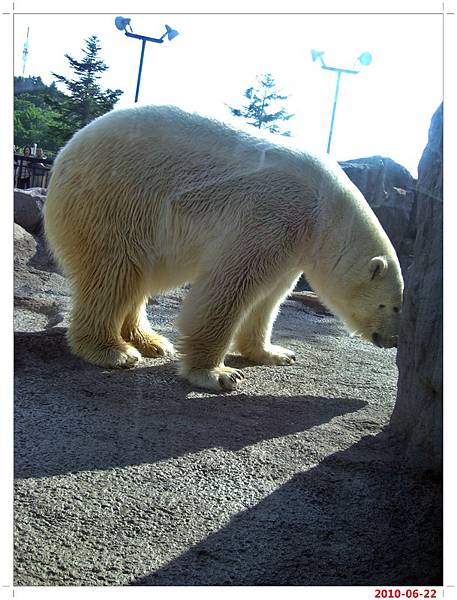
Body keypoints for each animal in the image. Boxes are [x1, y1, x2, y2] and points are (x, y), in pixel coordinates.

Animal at [44, 105, 402, 392]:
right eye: (390, 306)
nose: (393, 339)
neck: (325, 212)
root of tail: (63, 154)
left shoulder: (293, 245)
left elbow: (270, 297)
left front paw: (277, 353)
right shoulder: (274, 212)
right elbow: (231, 285)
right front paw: (218, 374)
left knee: (135, 278)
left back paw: (152, 342)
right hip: (114, 203)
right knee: (114, 272)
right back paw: (114, 351)